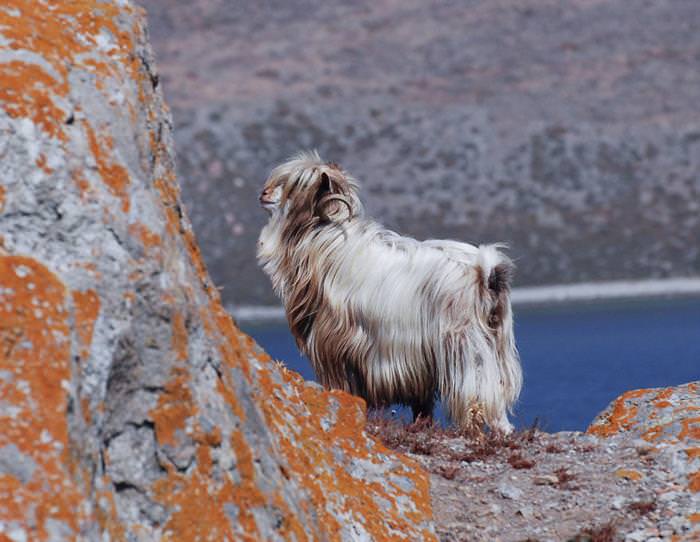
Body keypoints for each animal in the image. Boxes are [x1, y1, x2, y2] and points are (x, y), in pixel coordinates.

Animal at [258, 152, 520, 434]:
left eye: (297, 185)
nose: (264, 193)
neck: (326, 243)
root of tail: (487, 272)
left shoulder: (337, 346)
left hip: (466, 345)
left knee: (479, 393)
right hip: (497, 342)